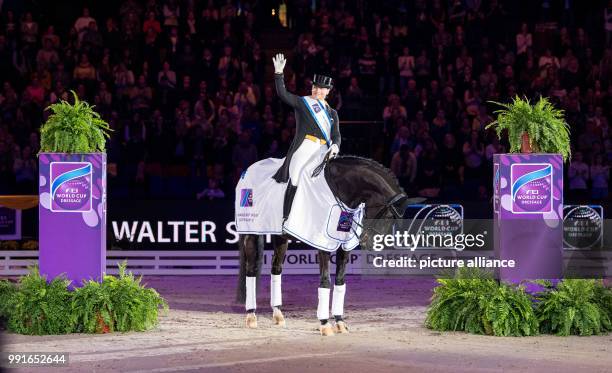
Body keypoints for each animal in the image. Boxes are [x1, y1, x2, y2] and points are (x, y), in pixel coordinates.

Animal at [235, 155, 420, 336]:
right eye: (388, 216)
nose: (371, 243)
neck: (340, 191)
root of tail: (247, 170)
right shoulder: (323, 244)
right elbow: (325, 281)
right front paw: (324, 324)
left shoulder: (344, 246)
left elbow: (339, 280)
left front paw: (340, 322)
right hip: (251, 232)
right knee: (251, 270)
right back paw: (251, 316)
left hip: (281, 238)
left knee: (276, 269)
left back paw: (278, 315)